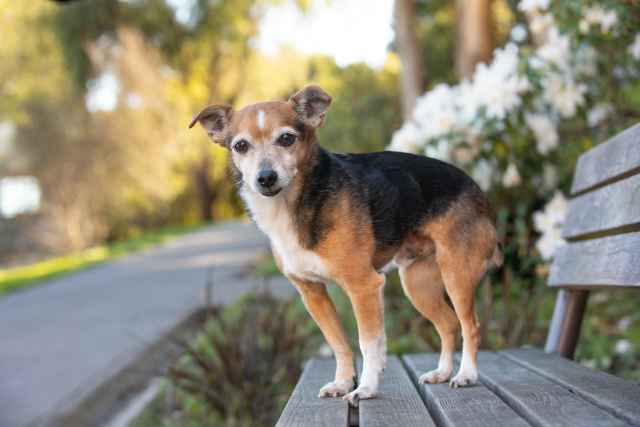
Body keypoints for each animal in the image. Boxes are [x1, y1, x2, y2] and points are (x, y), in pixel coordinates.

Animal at [189, 85, 502, 405]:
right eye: (240, 146)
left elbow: (368, 343)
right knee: (449, 324)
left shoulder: (363, 286)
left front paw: (366, 387)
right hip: (418, 285)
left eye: (287, 138)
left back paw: (466, 374)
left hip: (456, 276)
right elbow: (338, 342)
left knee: (470, 326)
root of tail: (478, 191)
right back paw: (442, 372)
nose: (265, 178)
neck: (295, 205)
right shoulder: (312, 293)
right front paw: (342, 382)